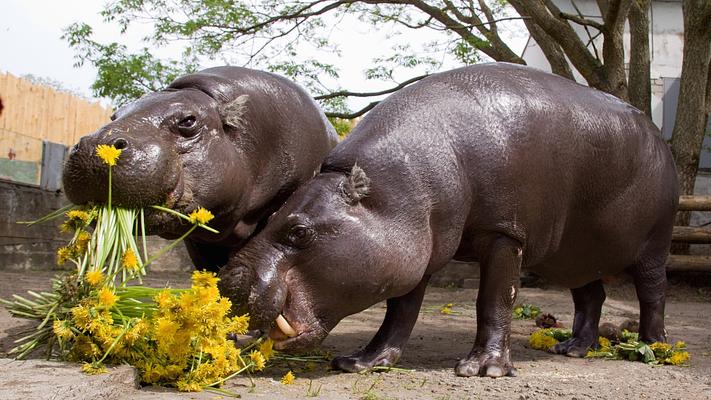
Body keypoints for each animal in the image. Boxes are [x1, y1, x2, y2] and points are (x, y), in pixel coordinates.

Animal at [220, 63, 680, 378]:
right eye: (270, 216)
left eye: (299, 231)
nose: (229, 281)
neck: (393, 191)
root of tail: (657, 134)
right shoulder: (419, 244)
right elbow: (400, 310)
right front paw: (361, 362)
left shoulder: (504, 234)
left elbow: (494, 300)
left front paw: (482, 370)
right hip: (576, 254)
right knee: (591, 297)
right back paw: (570, 349)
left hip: (654, 246)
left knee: (653, 293)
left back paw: (653, 349)